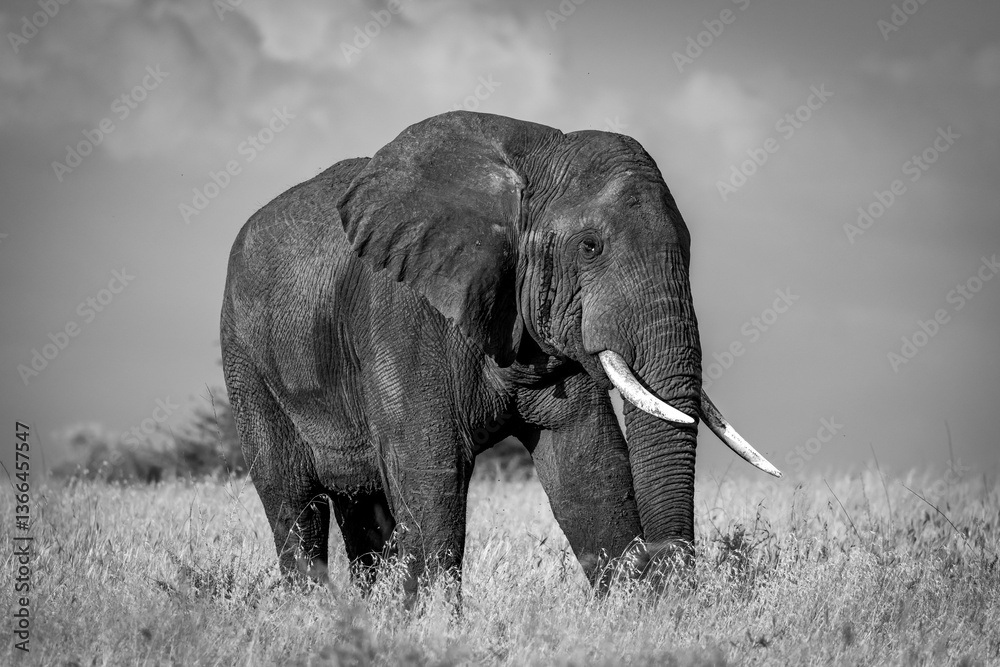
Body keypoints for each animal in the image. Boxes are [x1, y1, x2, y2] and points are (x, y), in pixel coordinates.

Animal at [220, 111, 780, 594]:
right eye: (590, 246)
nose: (674, 577)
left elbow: (588, 464)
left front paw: (635, 612)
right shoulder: (400, 313)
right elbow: (431, 473)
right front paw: (434, 625)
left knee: (362, 510)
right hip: (245, 358)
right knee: (295, 505)